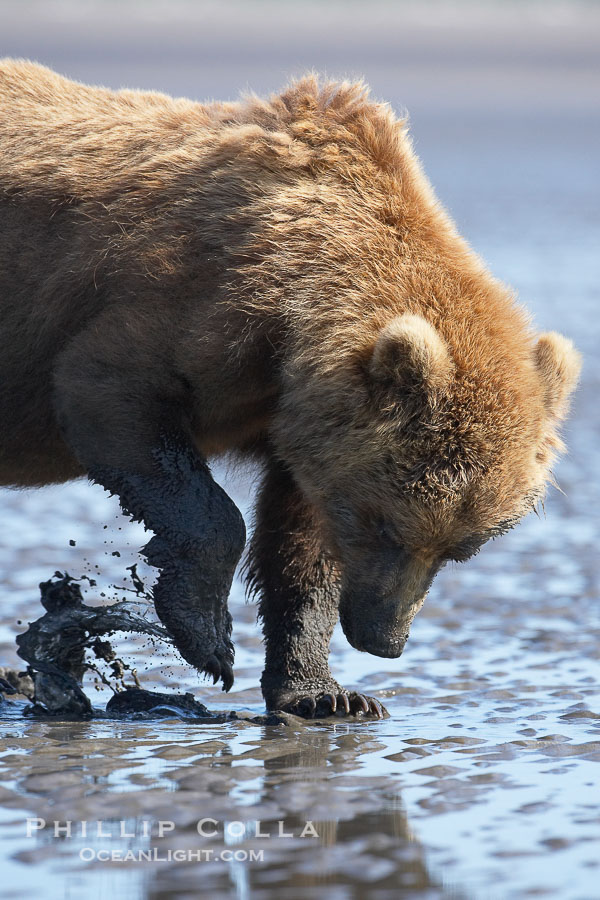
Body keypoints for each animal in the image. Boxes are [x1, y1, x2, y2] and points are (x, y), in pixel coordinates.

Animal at [0, 60, 581, 718]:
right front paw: (207, 636)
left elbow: (302, 546)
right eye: (385, 525)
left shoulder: (301, 423)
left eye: (462, 548)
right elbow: (112, 399)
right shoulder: (184, 304)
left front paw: (326, 692)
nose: (385, 639)